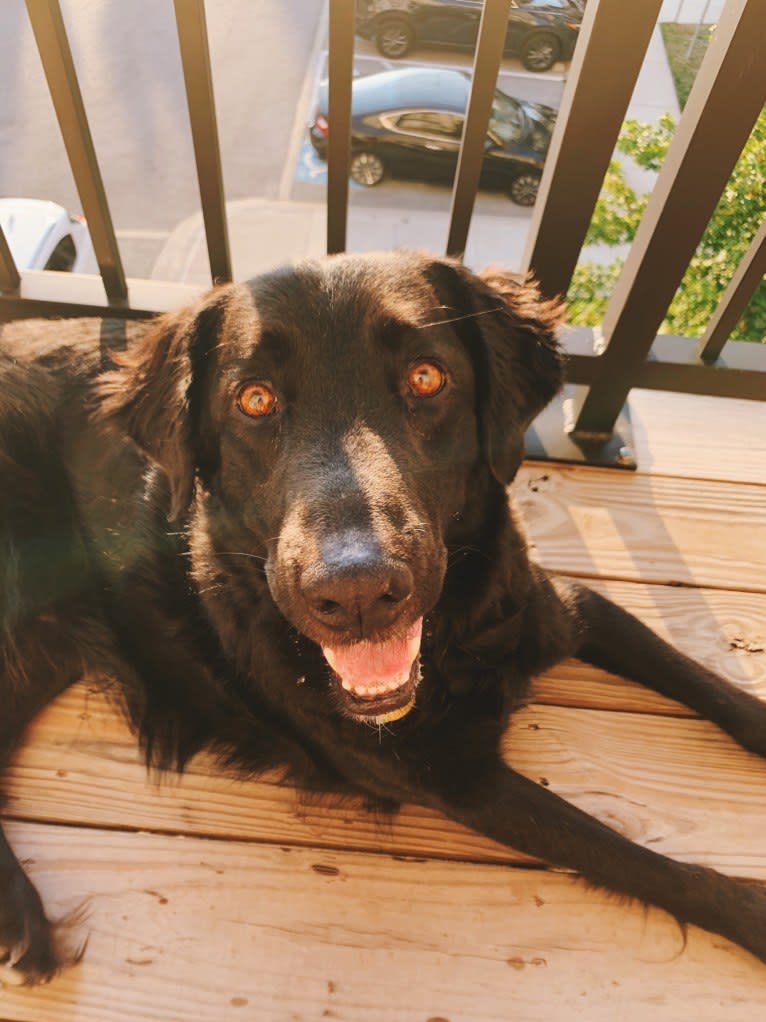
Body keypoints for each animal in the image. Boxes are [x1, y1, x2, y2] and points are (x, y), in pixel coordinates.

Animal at [1, 249, 766, 981]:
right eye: (254, 399)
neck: (458, 637)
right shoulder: (453, 777)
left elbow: (703, 680)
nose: (357, 592)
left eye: (427, 378)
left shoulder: (566, 610)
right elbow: (638, 859)